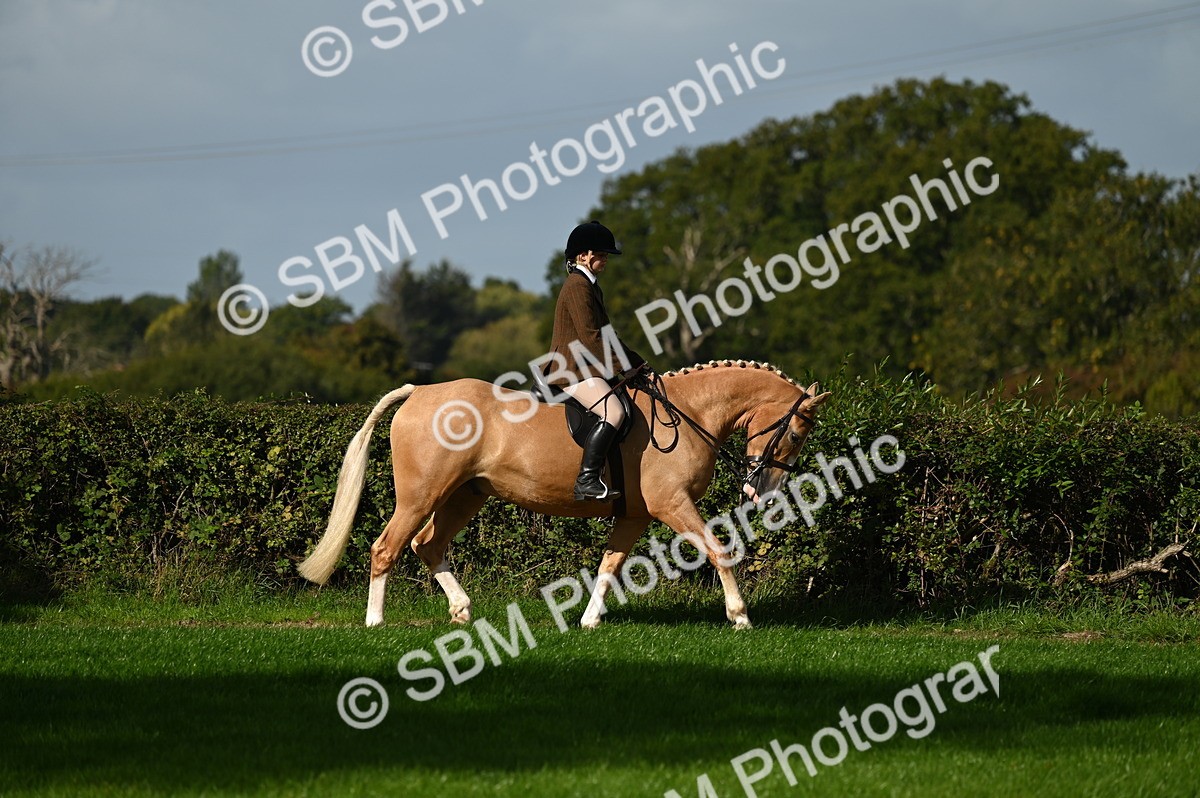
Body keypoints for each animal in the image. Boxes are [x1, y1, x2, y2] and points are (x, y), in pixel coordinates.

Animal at [297, 359, 831, 629]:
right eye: (796, 434)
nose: (762, 491)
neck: (688, 413)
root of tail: (420, 391)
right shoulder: (672, 505)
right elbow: (720, 550)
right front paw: (740, 617)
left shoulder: (636, 515)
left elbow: (610, 565)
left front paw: (590, 621)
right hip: (422, 494)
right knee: (385, 547)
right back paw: (375, 622)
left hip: (465, 495)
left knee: (427, 545)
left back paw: (462, 611)